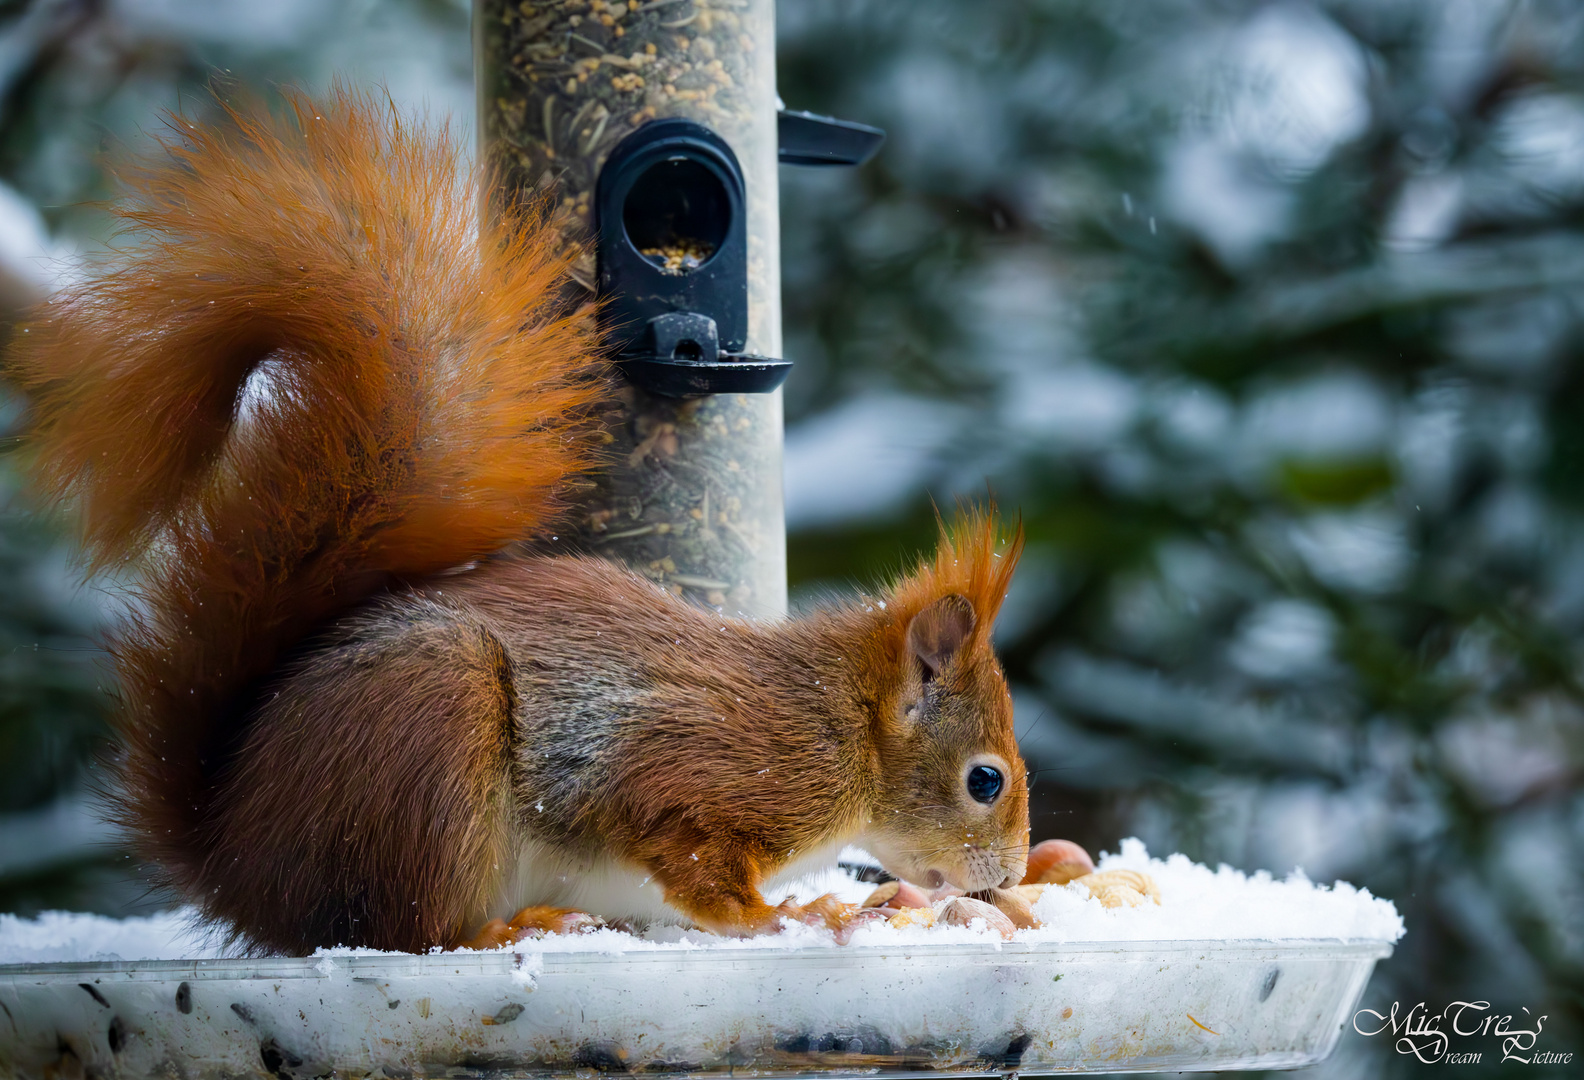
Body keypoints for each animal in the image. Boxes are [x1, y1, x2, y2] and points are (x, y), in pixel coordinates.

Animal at [9, 90, 1026, 950]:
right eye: (986, 780)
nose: (1009, 877)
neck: (842, 724)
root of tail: (235, 862)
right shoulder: (712, 771)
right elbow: (693, 862)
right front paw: (794, 913)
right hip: (431, 739)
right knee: (410, 929)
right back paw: (517, 929)